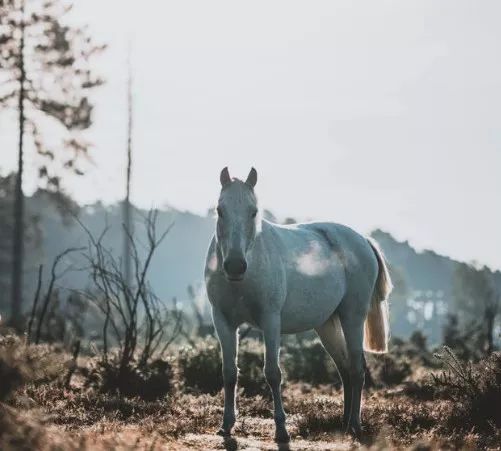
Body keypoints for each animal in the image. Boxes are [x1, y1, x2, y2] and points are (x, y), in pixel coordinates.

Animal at [203, 168, 390, 444]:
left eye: (254, 211)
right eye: (220, 209)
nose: (235, 266)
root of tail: (363, 240)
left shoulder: (270, 320)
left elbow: (273, 373)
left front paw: (282, 430)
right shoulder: (223, 321)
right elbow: (229, 373)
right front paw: (226, 425)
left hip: (352, 317)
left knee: (357, 368)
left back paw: (355, 425)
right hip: (327, 325)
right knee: (344, 368)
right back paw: (344, 422)